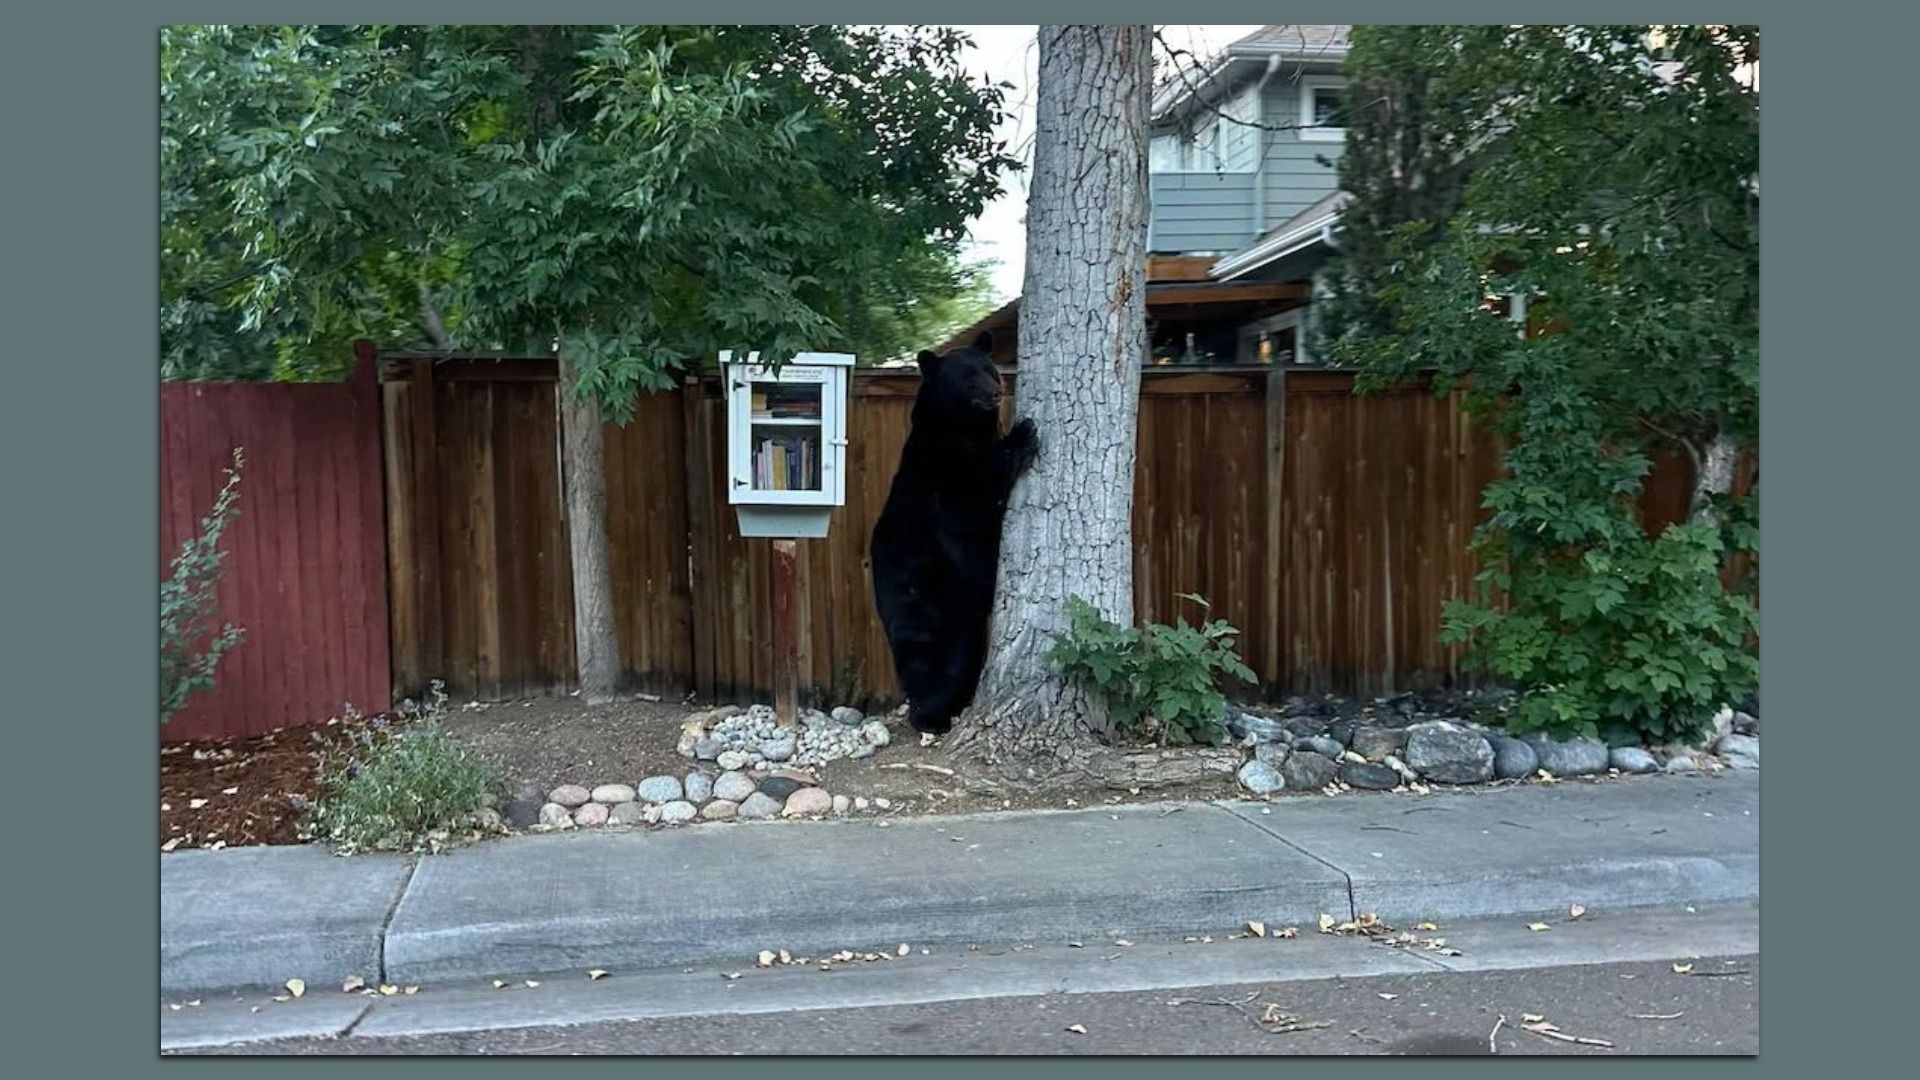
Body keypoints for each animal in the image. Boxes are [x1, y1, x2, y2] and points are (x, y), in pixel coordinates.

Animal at [869, 331, 1039, 736]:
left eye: (990, 369)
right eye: (967, 377)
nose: (996, 391)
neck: (962, 429)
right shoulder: (940, 476)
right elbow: (972, 499)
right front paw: (1022, 433)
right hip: (928, 607)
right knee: (933, 664)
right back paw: (931, 716)